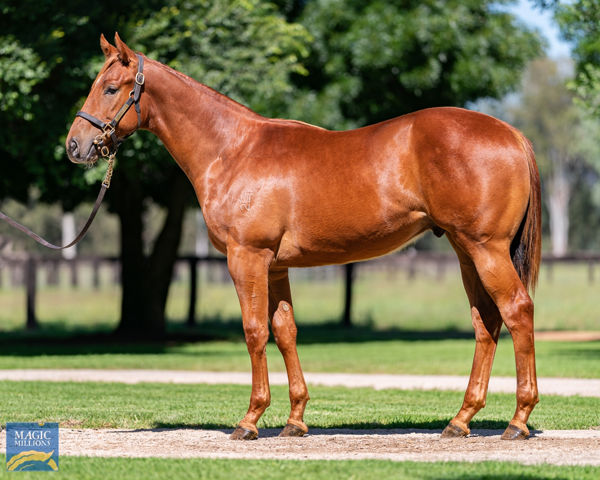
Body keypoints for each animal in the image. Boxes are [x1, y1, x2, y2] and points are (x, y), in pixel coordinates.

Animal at [67, 34, 544, 442]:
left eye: (111, 88)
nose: (75, 145)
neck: (232, 150)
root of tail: (511, 134)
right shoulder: (276, 267)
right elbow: (285, 331)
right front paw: (295, 420)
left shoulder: (247, 258)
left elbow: (254, 331)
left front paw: (250, 419)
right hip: (466, 252)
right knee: (486, 323)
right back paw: (460, 420)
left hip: (485, 249)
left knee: (517, 312)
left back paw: (518, 420)